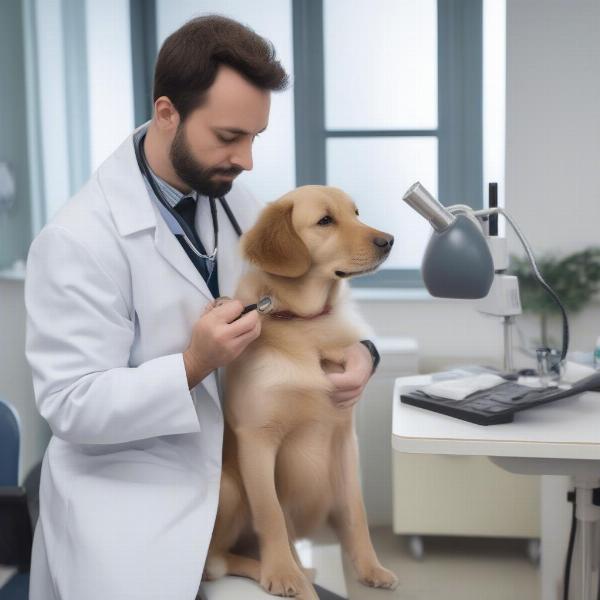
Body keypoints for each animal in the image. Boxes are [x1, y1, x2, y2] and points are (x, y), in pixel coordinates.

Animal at [205, 185, 398, 596]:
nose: (389, 240)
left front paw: (370, 567)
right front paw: (282, 571)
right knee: (215, 562)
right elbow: (271, 514)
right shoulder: (257, 441)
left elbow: (356, 512)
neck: (305, 325)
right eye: (325, 221)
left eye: (356, 213)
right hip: (228, 487)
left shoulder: (345, 439)